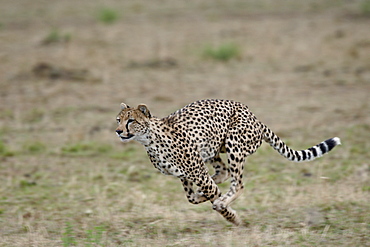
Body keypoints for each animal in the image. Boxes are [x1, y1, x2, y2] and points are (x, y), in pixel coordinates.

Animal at [115, 99, 342, 226]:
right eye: (119, 119)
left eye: (131, 120)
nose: (118, 131)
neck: (150, 139)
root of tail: (254, 116)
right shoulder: (184, 174)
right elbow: (192, 198)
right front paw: (205, 197)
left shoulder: (196, 171)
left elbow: (213, 196)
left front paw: (233, 218)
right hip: (213, 148)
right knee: (222, 173)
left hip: (234, 144)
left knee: (238, 183)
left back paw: (223, 200)